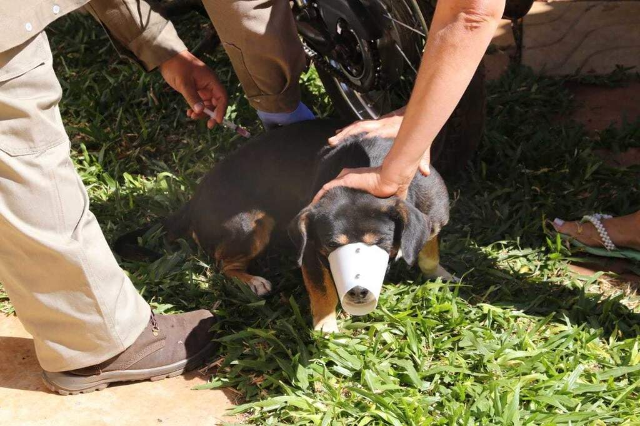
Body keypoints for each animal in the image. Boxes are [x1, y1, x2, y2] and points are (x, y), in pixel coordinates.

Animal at [122, 119, 450, 332]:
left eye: (379, 243)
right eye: (331, 246)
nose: (357, 291)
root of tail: (194, 200)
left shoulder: (433, 219)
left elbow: (428, 251)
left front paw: (440, 275)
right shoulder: (311, 251)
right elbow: (322, 290)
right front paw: (326, 328)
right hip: (253, 222)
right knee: (222, 263)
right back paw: (252, 281)